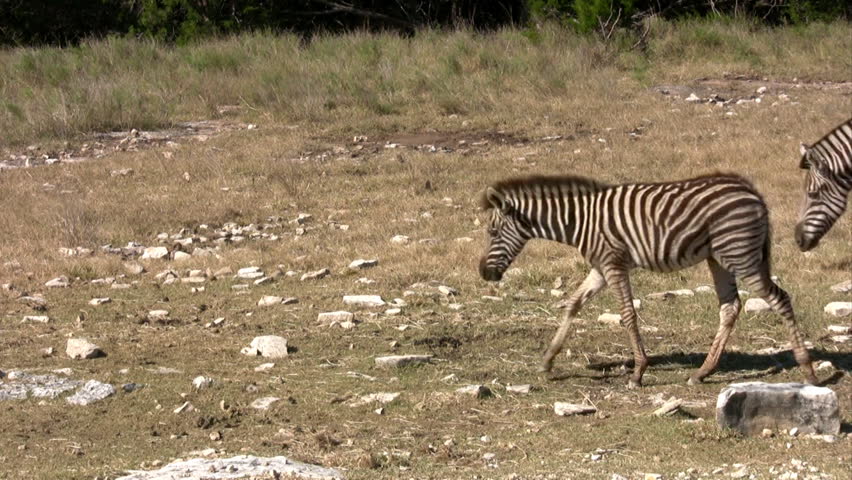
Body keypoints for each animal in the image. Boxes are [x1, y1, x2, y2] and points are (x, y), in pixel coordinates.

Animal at [479, 173, 818, 388]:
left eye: (492, 232)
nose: (484, 273)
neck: (579, 221)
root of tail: (751, 191)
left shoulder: (613, 264)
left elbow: (628, 315)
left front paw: (638, 372)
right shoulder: (600, 267)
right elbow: (573, 304)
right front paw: (548, 360)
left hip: (740, 255)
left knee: (779, 299)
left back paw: (808, 370)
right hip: (719, 258)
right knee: (730, 307)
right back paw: (702, 373)